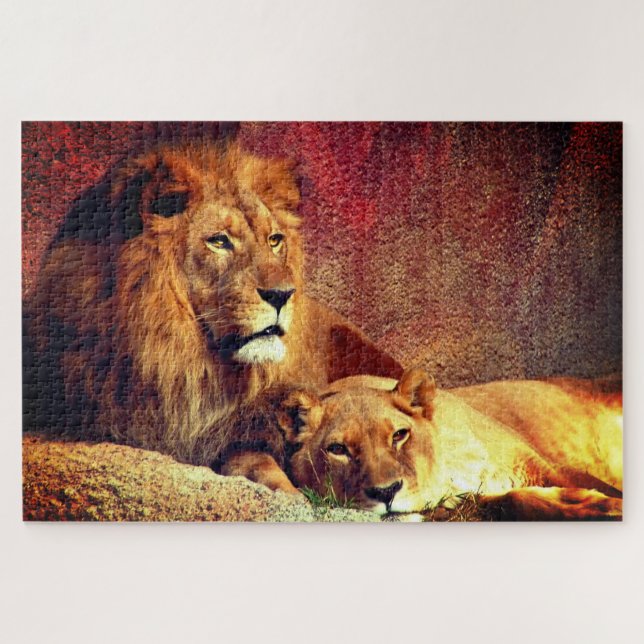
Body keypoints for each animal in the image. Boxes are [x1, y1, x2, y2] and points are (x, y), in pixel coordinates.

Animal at [275, 369, 623, 519]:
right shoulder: (472, 500)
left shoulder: (543, 465)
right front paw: (593, 506)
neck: (452, 467)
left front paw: (607, 504)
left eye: (399, 435)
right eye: (338, 450)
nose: (386, 493)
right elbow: (517, 501)